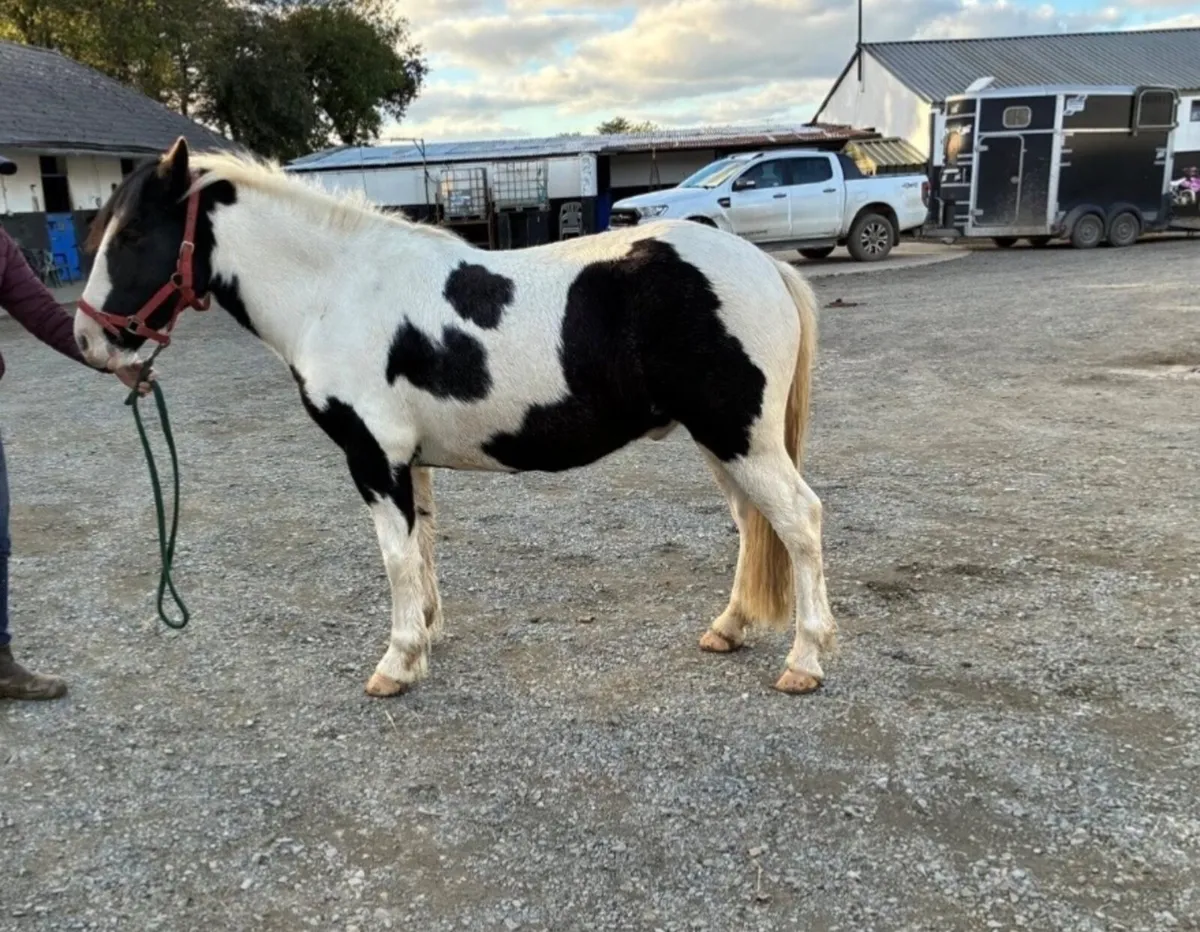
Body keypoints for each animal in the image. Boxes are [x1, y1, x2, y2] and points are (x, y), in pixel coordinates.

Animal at [73, 136, 836, 698]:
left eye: (134, 233)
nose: (91, 341)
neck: (335, 291)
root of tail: (764, 266)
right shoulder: (408, 460)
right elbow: (423, 548)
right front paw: (427, 636)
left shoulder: (372, 457)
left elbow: (394, 556)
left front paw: (397, 661)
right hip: (723, 441)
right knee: (754, 525)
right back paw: (730, 628)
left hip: (740, 439)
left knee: (799, 521)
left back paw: (805, 660)